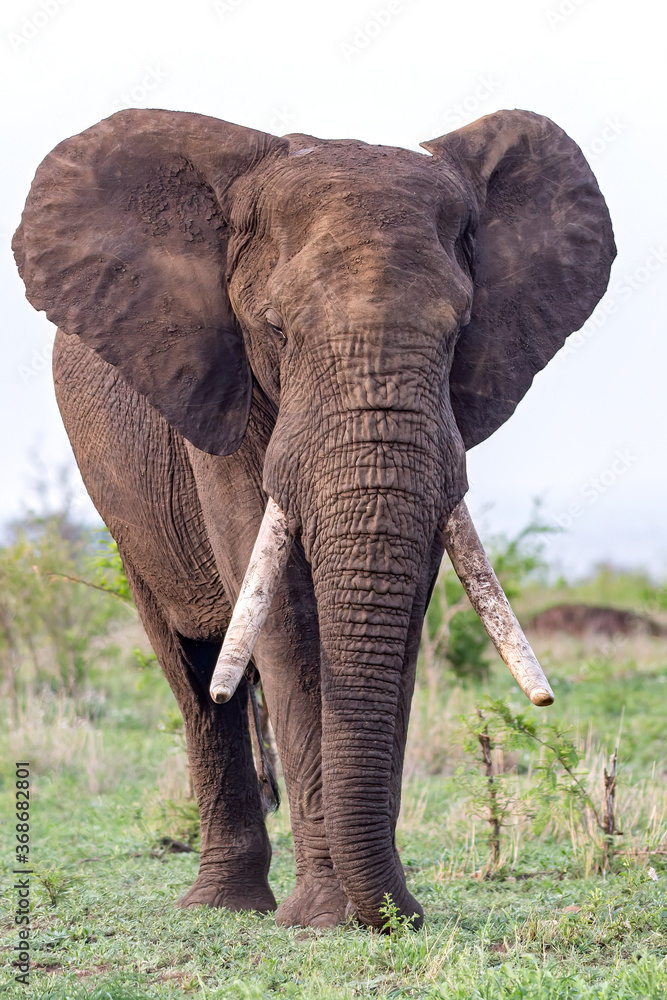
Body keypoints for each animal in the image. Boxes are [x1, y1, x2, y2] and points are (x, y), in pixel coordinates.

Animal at [13, 107, 615, 929]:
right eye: (276, 331)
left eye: (459, 332)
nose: (400, 912)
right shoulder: (221, 391)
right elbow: (289, 621)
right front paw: (327, 919)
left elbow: (405, 610)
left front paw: (378, 913)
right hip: (123, 507)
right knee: (192, 669)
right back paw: (221, 905)